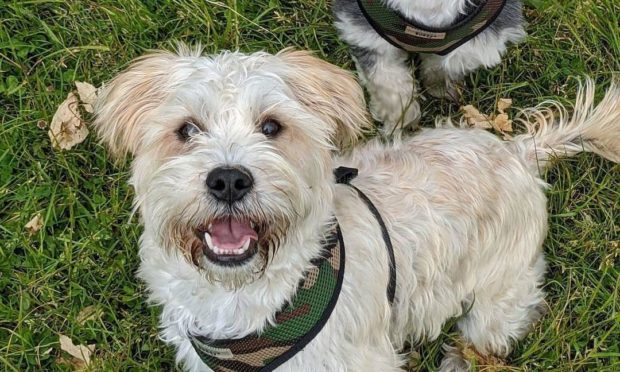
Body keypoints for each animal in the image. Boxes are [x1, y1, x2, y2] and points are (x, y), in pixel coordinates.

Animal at [93, 47, 620, 372]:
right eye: (186, 129)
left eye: (272, 127)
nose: (228, 180)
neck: (244, 297)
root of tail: (519, 152)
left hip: (500, 294)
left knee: (492, 333)